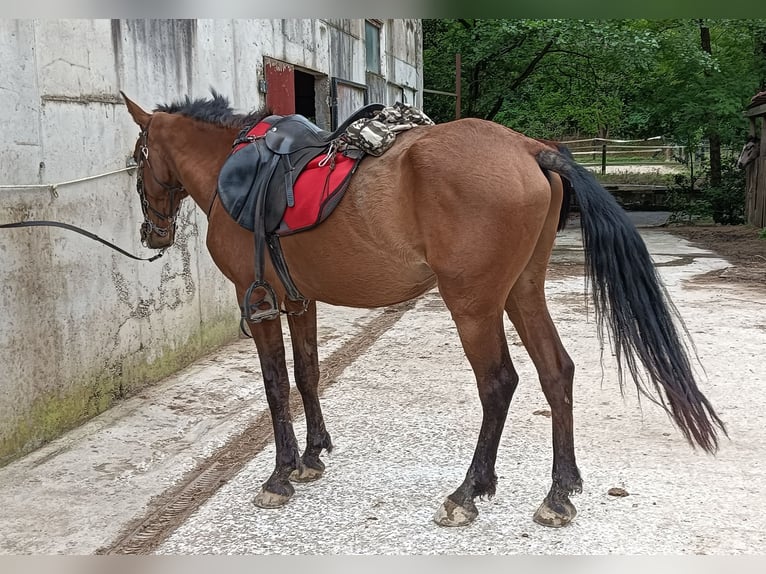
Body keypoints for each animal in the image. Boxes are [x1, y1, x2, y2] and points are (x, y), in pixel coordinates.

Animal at [121, 91, 725, 528]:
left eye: (136, 158)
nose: (152, 232)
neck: (237, 170)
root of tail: (530, 149)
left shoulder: (261, 302)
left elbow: (275, 385)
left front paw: (280, 475)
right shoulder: (299, 299)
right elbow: (308, 372)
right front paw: (314, 456)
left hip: (473, 303)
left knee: (499, 383)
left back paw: (467, 493)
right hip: (522, 291)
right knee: (557, 371)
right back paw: (559, 492)